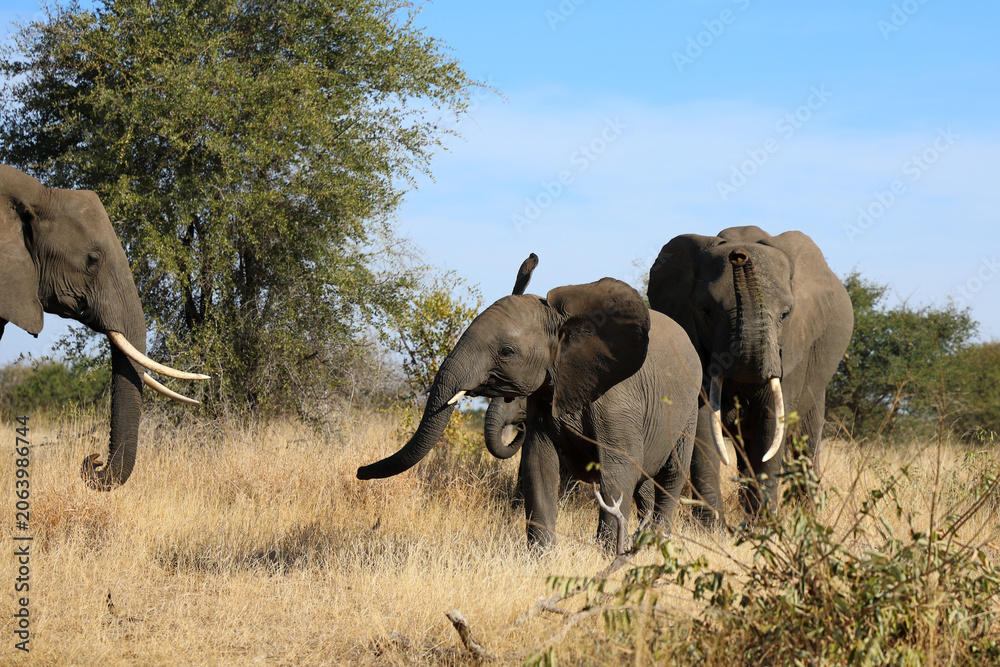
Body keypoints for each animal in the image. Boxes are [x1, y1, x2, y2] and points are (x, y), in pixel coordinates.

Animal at [359, 254, 702, 550]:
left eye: (507, 352)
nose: (360, 471)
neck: (563, 323)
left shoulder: (617, 400)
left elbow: (617, 468)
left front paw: (609, 554)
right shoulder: (545, 398)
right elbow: (538, 463)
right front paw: (542, 555)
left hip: (689, 411)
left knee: (671, 476)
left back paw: (655, 542)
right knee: (645, 486)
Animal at [647, 226, 853, 525]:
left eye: (785, 314)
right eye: (707, 311)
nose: (739, 256)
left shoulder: (792, 350)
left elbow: (770, 423)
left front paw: (764, 526)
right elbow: (704, 423)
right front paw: (712, 528)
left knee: (806, 438)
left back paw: (808, 516)